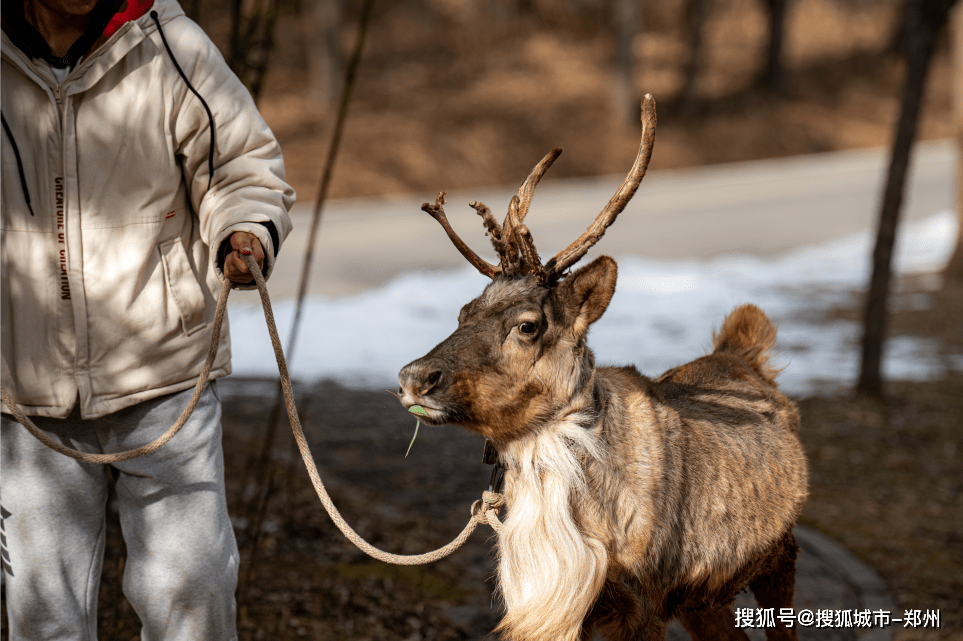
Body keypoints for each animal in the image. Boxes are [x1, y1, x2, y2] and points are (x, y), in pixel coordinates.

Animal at [396, 95, 808, 640]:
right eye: (463, 313)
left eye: (527, 325)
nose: (414, 378)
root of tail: (745, 352)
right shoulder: (558, 605)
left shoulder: (645, 600)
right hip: (706, 596)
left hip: (779, 559)